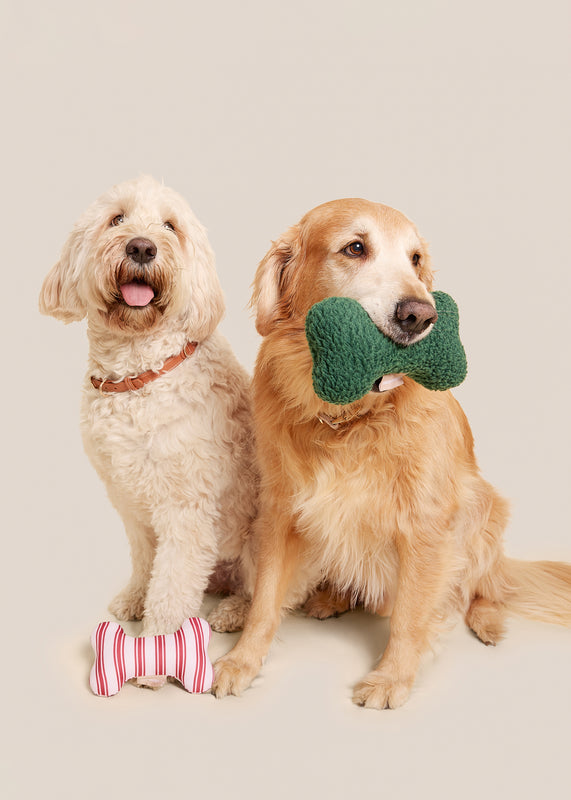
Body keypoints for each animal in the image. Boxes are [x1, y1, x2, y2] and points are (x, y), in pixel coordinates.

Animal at [39, 175, 256, 680]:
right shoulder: (129, 501)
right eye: (116, 218)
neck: (140, 374)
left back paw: (235, 610)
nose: (141, 247)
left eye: (170, 226)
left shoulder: (185, 510)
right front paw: (136, 598)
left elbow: (172, 585)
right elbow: (144, 561)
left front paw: (157, 654)